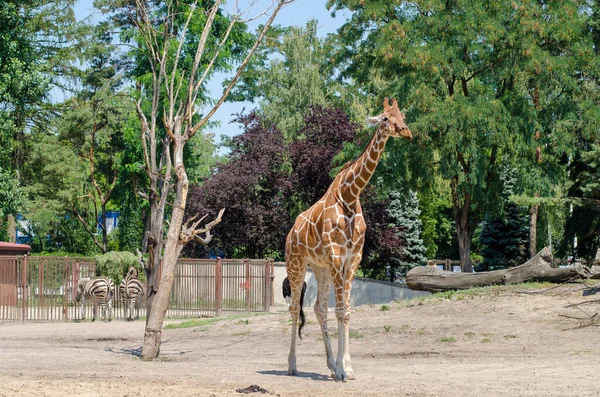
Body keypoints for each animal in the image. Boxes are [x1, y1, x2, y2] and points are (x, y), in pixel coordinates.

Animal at [286, 97, 412, 378]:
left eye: (402, 115)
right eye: (385, 118)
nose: (406, 132)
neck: (350, 196)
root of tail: (290, 233)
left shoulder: (353, 257)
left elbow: (346, 311)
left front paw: (346, 368)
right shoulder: (336, 255)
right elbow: (341, 309)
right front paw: (344, 371)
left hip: (319, 268)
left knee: (319, 308)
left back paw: (331, 366)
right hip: (296, 264)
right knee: (294, 308)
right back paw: (291, 365)